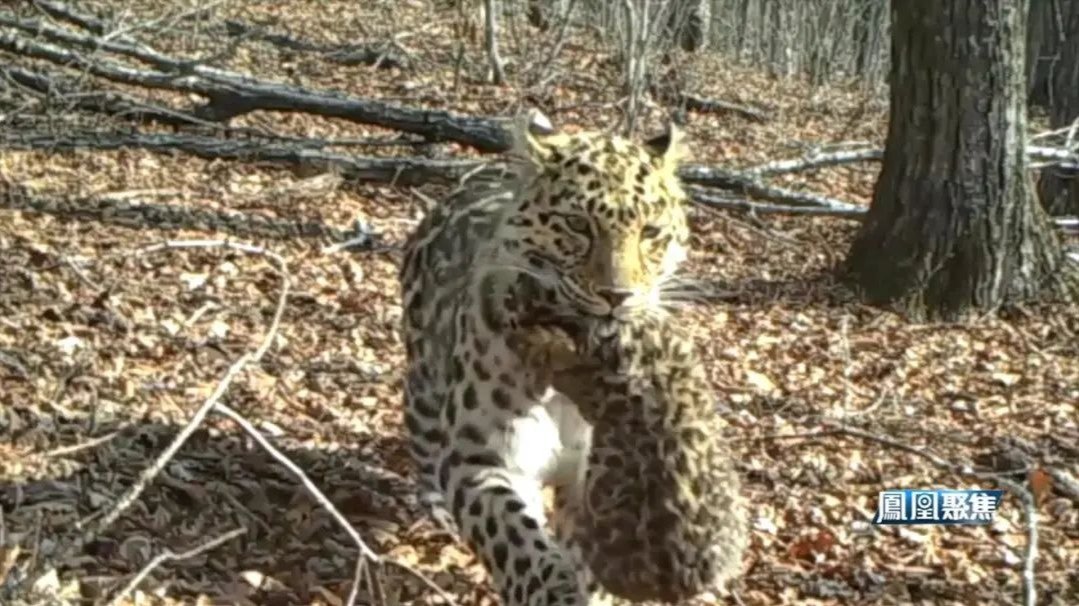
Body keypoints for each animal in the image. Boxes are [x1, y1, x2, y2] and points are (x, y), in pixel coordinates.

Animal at [397, 109, 690, 603]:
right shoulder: (484, 458)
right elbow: (515, 538)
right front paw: (551, 590)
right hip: (422, 395)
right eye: (577, 225)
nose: (618, 296)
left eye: (650, 232)